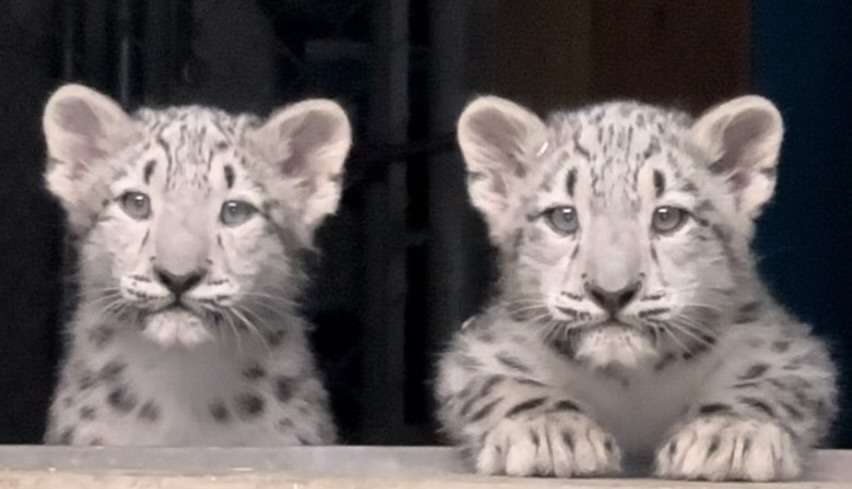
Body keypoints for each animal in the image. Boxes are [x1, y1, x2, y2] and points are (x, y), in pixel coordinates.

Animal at [434, 94, 837, 481]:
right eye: (563, 217)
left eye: (668, 217)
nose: (612, 292)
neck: (630, 382)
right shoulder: (485, 348)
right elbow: (508, 385)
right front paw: (549, 431)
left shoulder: (784, 349)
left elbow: (764, 386)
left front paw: (729, 434)